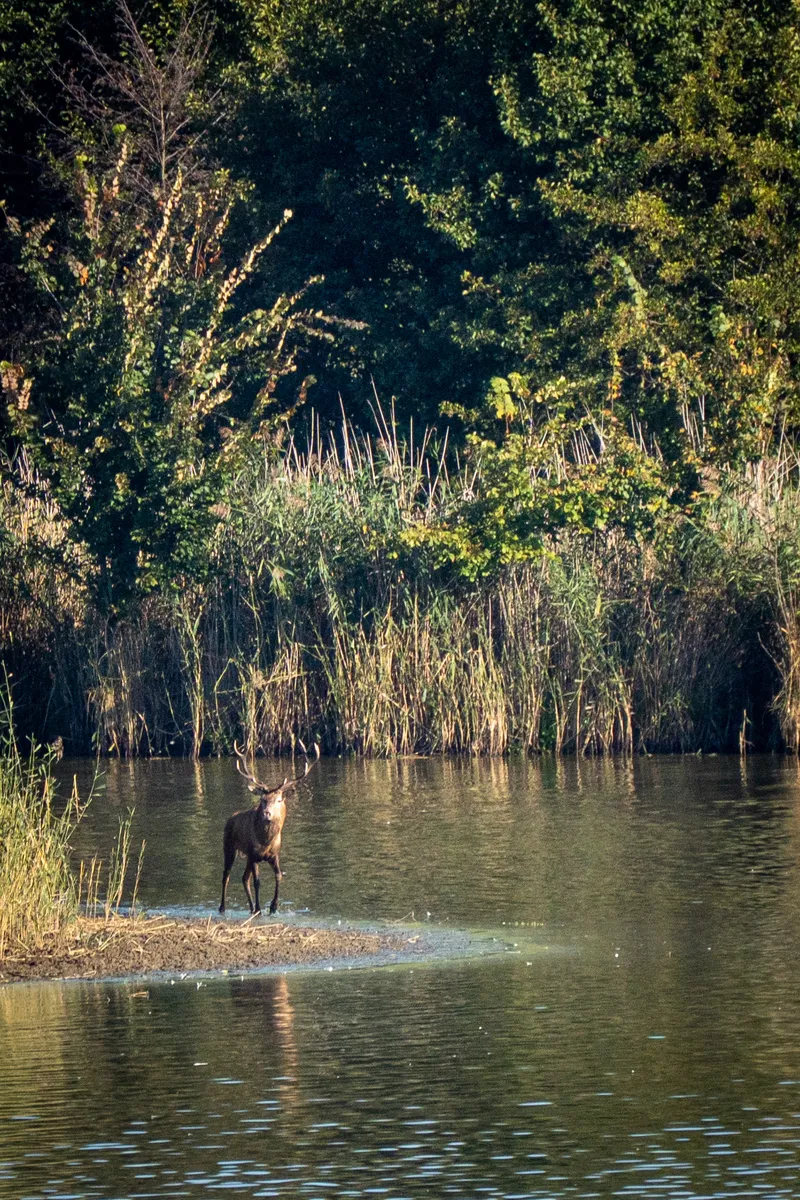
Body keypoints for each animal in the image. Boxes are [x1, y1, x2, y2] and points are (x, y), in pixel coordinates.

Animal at [219, 739, 320, 916]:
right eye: (263, 799)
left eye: (279, 800)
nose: (267, 813)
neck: (266, 840)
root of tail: (231, 818)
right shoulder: (254, 854)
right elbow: (257, 881)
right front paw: (260, 908)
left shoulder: (274, 854)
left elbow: (278, 876)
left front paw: (273, 906)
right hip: (229, 846)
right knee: (226, 875)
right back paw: (223, 907)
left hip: (245, 855)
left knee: (244, 878)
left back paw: (251, 907)